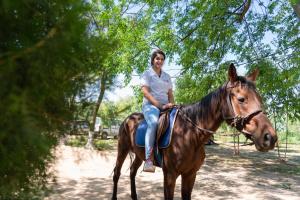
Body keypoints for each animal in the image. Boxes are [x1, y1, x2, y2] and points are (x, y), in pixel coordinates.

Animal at [111, 64, 278, 200]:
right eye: (241, 99)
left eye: (260, 99)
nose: (270, 137)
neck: (190, 135)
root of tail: (128, 119)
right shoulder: (170, 176)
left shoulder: (190, 175)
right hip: (122, 149)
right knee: (117, 174)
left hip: (139, 155)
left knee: (132, 172)